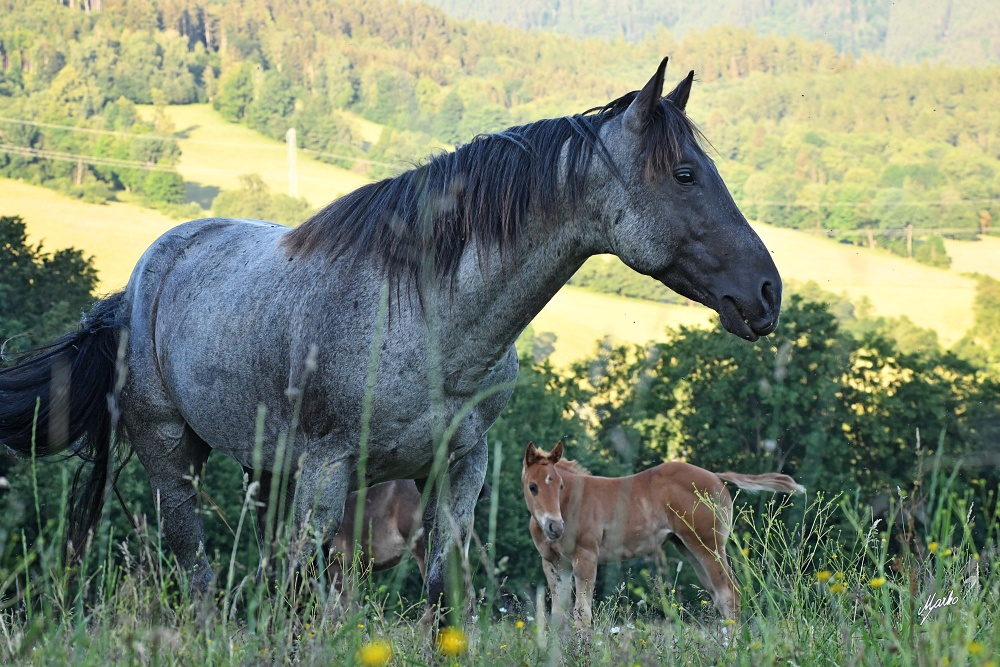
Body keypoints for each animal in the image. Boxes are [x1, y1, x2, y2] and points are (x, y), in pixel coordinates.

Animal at [524, 440, 804, 628]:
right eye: (533, 486)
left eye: (560, 485)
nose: (555, 527)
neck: (569, 503)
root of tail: (716, 476)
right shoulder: (554, 564)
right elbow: (558, 616)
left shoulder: (586, 557)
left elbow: (582, 614)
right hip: (688, 548)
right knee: (720, 596)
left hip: (708, 545)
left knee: (730, 595)